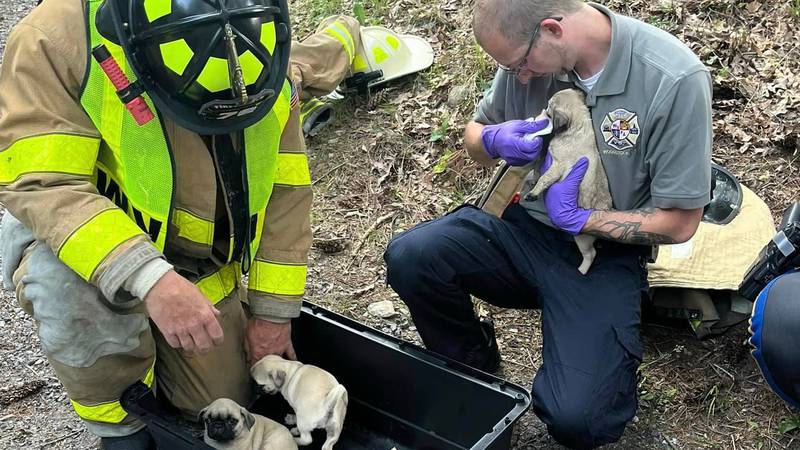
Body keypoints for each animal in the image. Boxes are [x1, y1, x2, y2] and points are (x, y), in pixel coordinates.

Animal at [524, 86, 612, 272]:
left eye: (549, 109)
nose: (544, 109)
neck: (577, 127)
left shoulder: (557, 166)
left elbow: (544, 178)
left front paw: (534, 192)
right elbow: (538, 169)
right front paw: (533, 180)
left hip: (582, 238)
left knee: (590, 254)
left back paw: (582, 270)